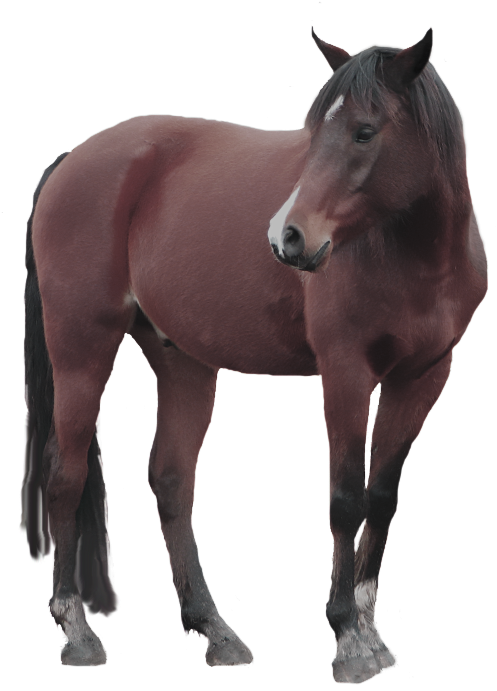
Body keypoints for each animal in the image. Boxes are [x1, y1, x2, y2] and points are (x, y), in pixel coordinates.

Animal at [21, 26, 487, 682]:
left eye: (365, 131)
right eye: (315, 131)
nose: (287, 237)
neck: (410, 251)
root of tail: (72, 159)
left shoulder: (422, 378)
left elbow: (382, 498)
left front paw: (370, 627)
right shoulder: (345, 373)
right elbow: (346, 499)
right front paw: (348, 636)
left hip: (182, 360)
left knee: (170, 479)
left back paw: (214, 629)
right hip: (82, 349)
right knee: (65, 473)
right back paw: (77, 629)